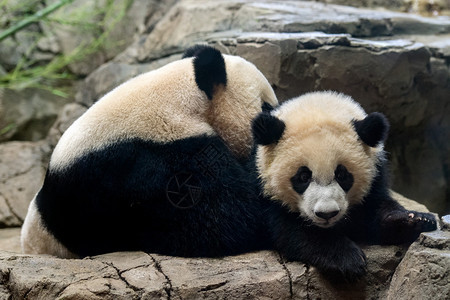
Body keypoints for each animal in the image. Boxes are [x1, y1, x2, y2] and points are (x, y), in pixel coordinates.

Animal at [253, 91, 440, 282]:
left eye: (342, 175)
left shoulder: (374, 180)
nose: (327, 214)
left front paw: (415, 219)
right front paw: (346, 259)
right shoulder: (264, 195)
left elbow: (376, 213)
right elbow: (291, 230)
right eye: (303, 176)